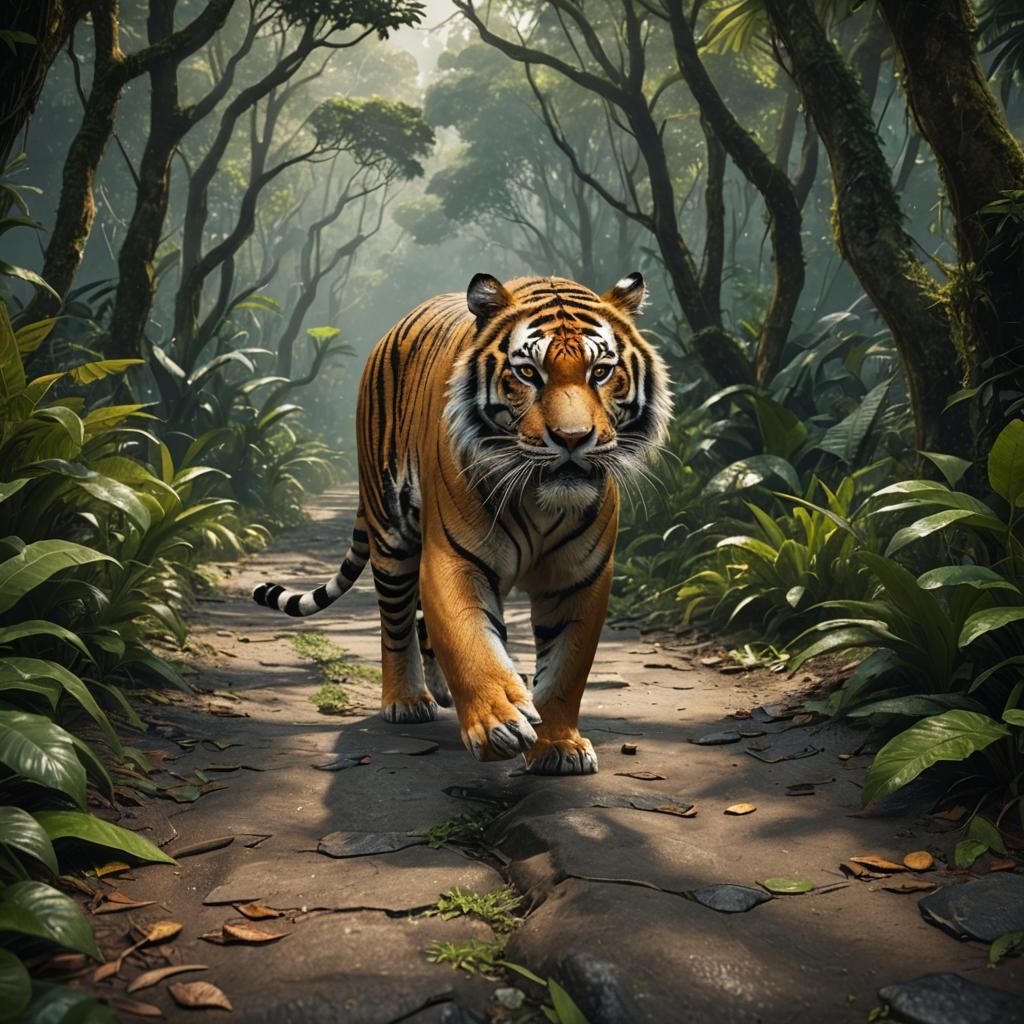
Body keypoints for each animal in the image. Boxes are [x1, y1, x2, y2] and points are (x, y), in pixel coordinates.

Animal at [253, 273, 671, 774]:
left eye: (601, 372)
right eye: (528, 374)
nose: (572, 439)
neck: (541, 500)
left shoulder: (580, 576)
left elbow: (566, 668)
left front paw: (559, 745)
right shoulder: (455, 558)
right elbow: (469, 640)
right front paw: (498, 724)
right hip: (391, 535)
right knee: (396, 622)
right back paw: (407, 700)